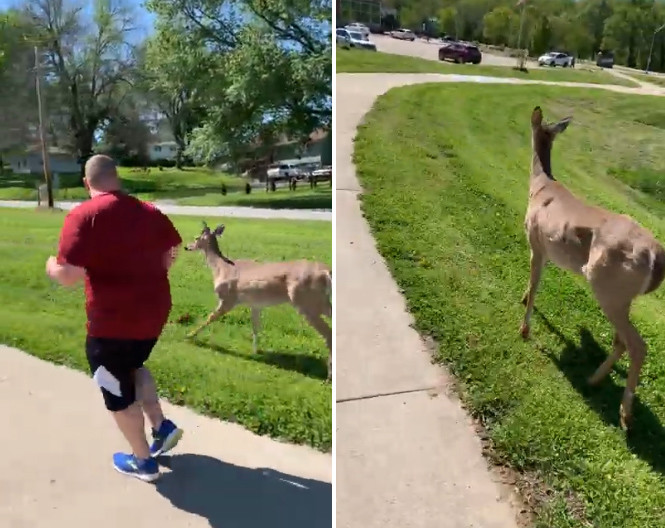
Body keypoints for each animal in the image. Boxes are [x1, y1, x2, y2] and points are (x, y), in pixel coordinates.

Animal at [183, 222, 333, 381]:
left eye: (197, 237)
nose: (187, 247)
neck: (221, 267)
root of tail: (327, 272)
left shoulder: (228, 299)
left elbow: (210, 317)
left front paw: (190, 335)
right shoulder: (255, 304)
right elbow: (255, 327)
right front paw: (256, 351)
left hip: (305, 302)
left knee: (328, 334)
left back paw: (328, 376)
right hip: (322, 301)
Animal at [520, 106, 665, 431]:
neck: (541, 186)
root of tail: (658, 259)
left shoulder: (536, 241)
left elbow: (535, 284)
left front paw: (524, 328)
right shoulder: (546, 251)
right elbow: (535, 283)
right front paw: (522, 301)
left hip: (608, 286)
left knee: (637, 345)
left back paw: (625, 413)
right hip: (622, 296)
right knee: (622, 340)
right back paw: (595, 379)